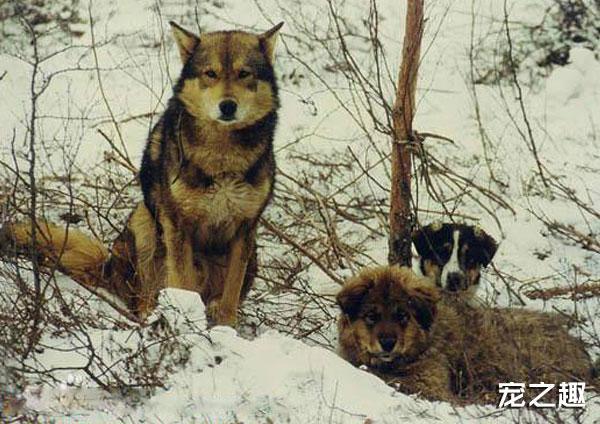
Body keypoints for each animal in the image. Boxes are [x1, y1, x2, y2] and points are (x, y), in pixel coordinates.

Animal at [0, 21, 284, 326]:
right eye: (211, 73)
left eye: (244, 74)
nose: (227, 106)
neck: (222, 157)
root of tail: (108, 268)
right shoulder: (177, 225)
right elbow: (183, 281)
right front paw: (188, 325)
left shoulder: (246, 227)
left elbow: (231, 291)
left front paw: (226, 327)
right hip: (144, 222)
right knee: (143, 297)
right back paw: (151, 315)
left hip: (252, 254)